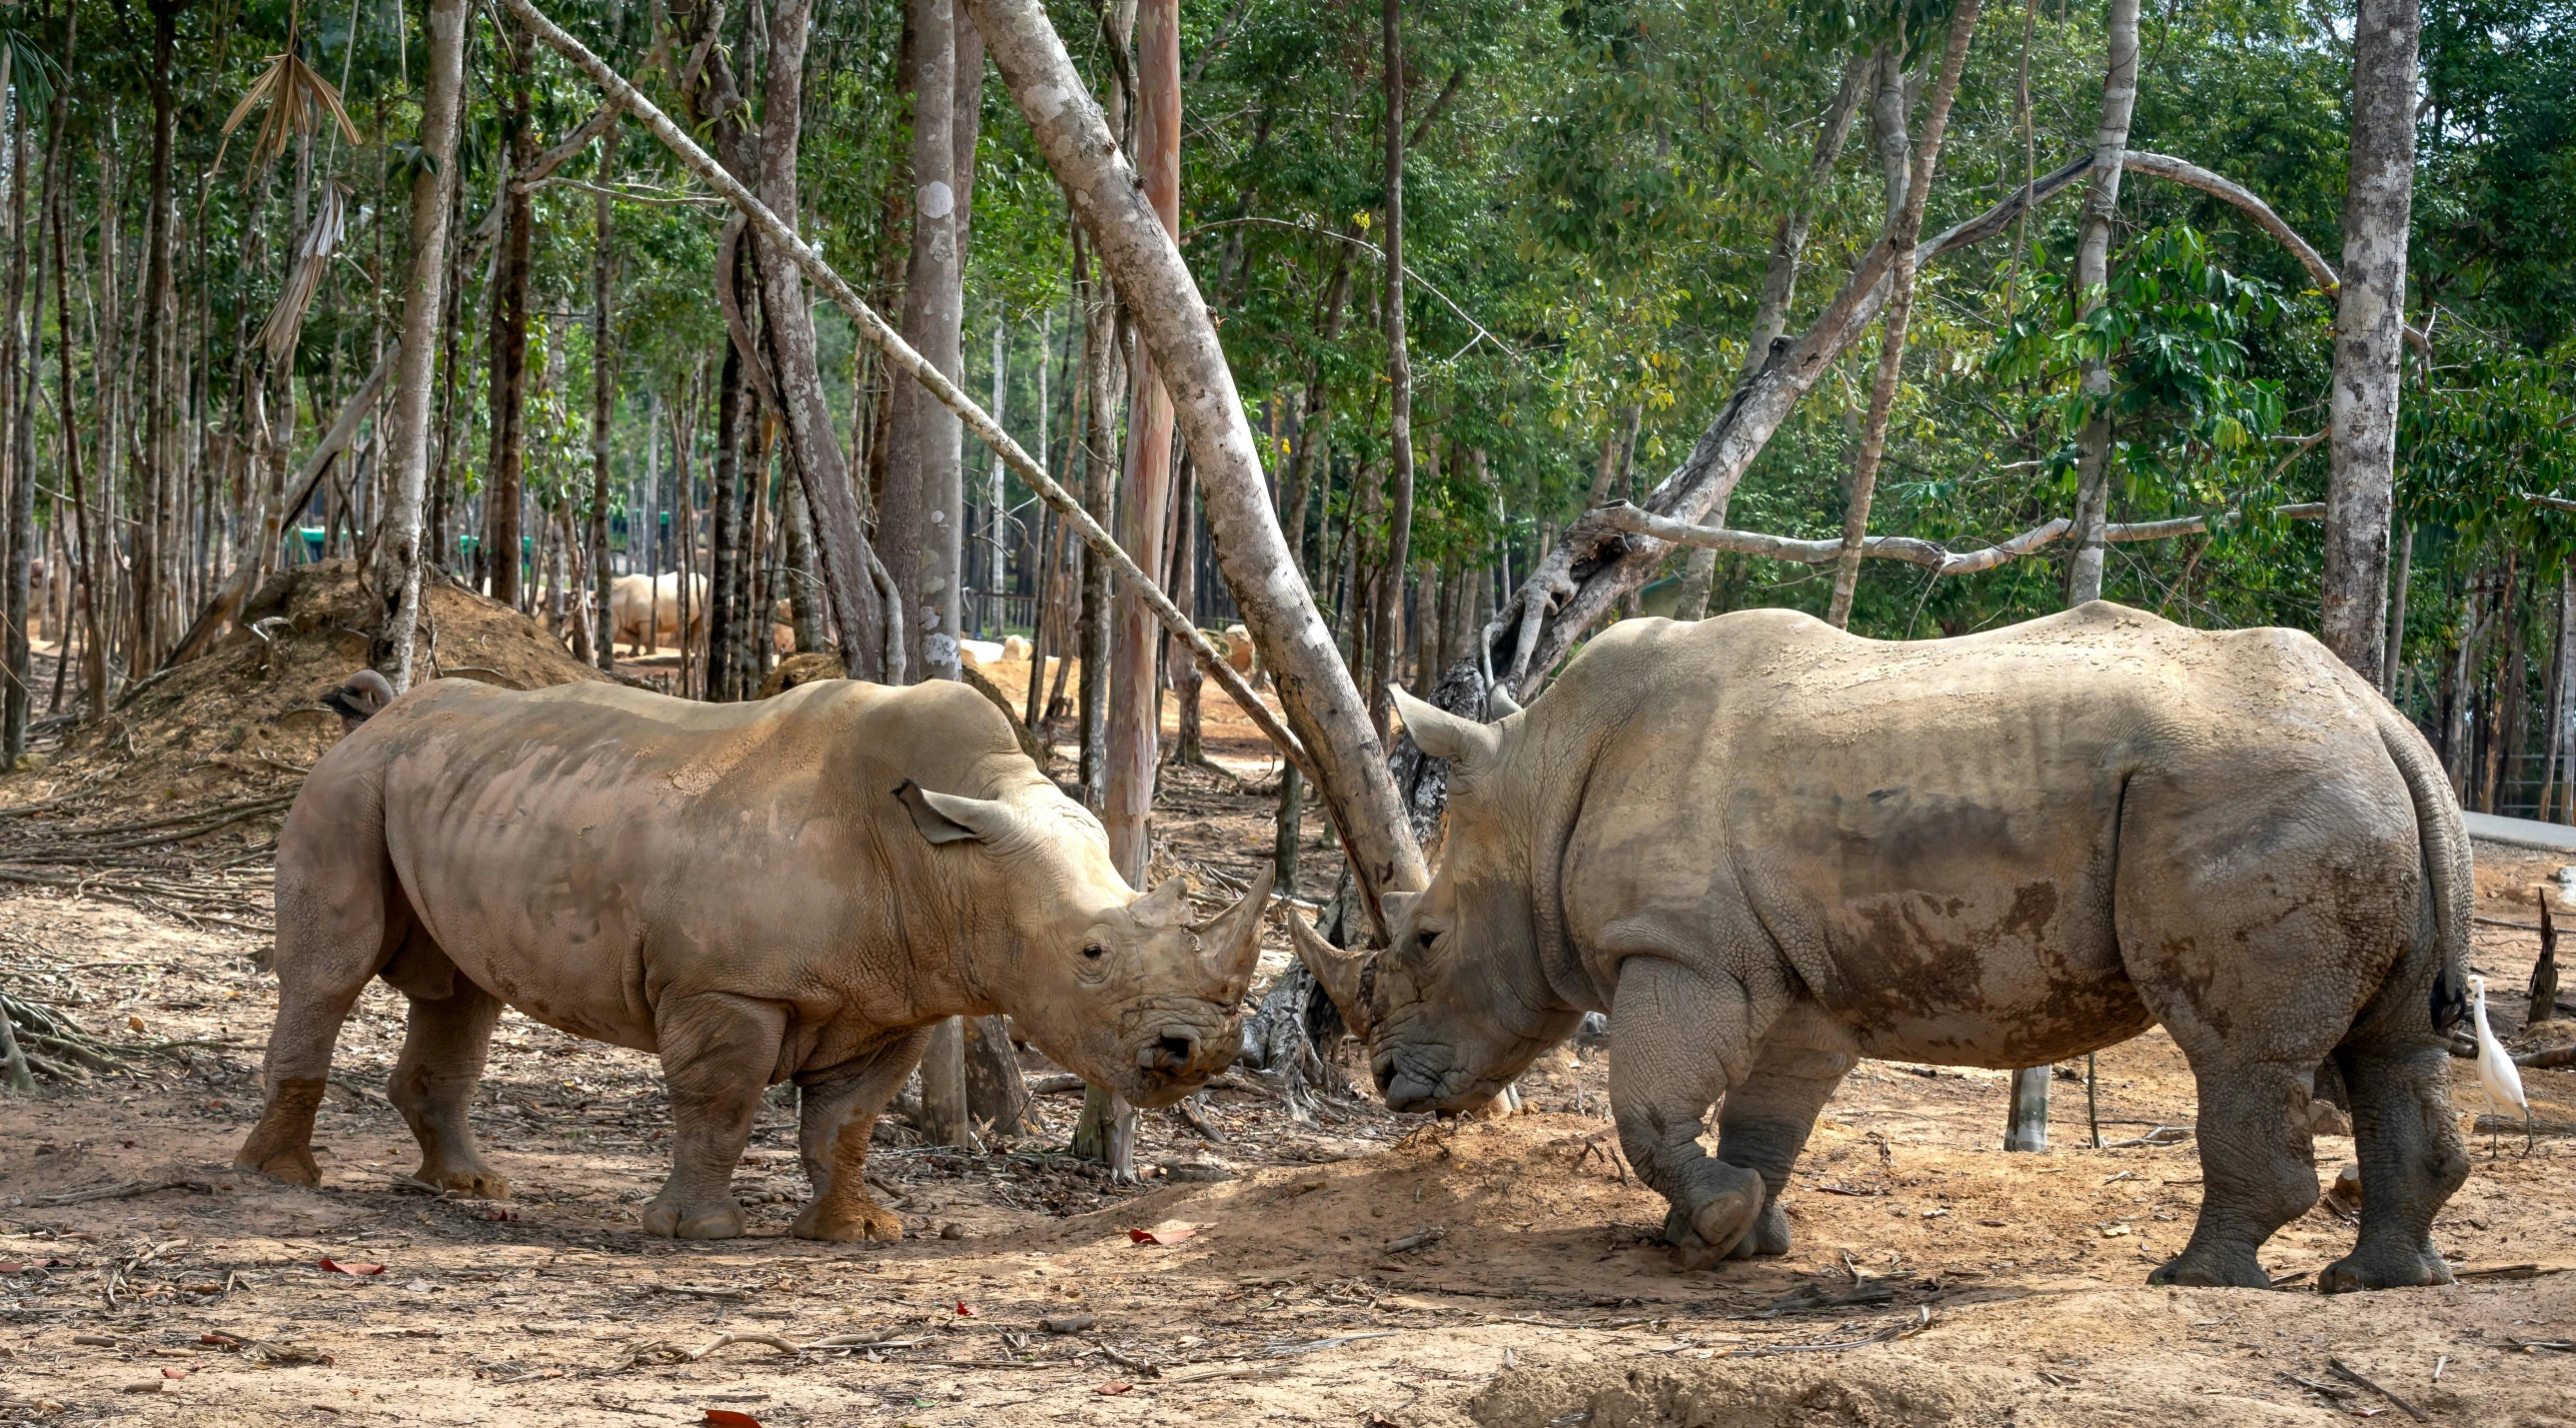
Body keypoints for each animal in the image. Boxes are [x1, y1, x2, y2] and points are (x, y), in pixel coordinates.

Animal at [242, 670, 1267, 1231]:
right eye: (1092, 952)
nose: (1197, 1055)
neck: (954, 862)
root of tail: (378, 717)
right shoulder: (725, 985)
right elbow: (722, 1104)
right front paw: (698, 1231)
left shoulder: (897, 997)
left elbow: (846, 1122)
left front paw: (858, 1231)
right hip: (348, 786)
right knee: (330, 973)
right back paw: (283, 1178)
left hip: (457, 790)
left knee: (461, 992)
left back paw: (467, 1183)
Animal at [1308, 601, 2472, 1288]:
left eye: (1426, 938)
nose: (1388, 1082)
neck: (1542, 783)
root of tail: (2381, 717)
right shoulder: (1795, 979)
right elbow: (1766, 1116)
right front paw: (1730, 1236)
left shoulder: (1680, 948)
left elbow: (1647, 1106)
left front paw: (1714, 1226)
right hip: (2359, 790)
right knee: (2393, 1044)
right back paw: (2379, 1282)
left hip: (2255, 787)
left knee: (2236, 1049)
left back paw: (2196, 1278)